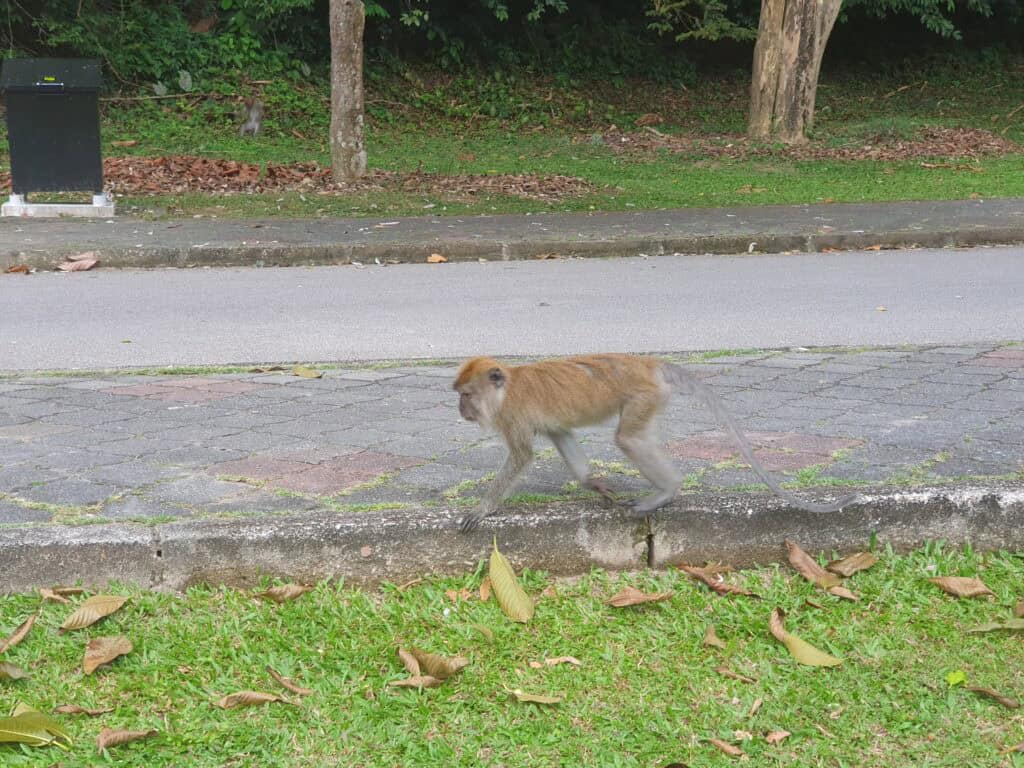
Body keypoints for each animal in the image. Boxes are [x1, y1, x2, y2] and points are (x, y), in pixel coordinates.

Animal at [453, 354, 858, 532]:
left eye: (467, 395)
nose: (461, 410)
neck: (505, 390)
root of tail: (647, 363)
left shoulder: (514, 416)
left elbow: (522, 456)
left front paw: (482, 509)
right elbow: (561, 435)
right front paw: (592, 483)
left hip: (644, 396)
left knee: (629, 438)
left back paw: (668, 490)